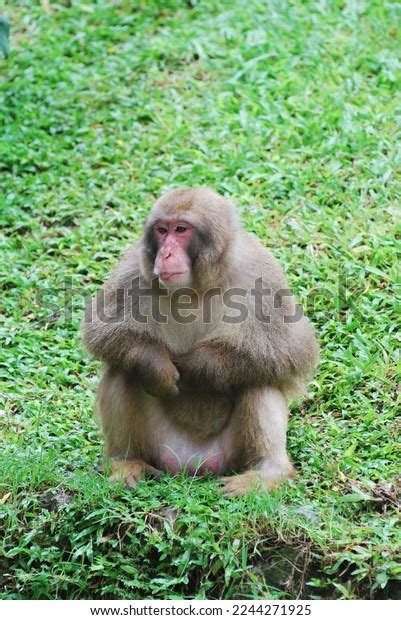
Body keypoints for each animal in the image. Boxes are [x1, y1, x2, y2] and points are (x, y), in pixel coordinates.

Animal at [82, 186, 318, 496]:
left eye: (181, 229)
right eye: (162, 230)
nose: (166, 253)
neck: (196, 286)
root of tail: (191, 465)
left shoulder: (261, 272)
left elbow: (294, 349)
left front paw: (200, 367)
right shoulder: (135, 268)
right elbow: (101, 330)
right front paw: (156, 365)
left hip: (232, 453)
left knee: (259, 378)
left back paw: (268, 473)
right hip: (158, 445)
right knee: (122, 369)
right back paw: (127, 461)